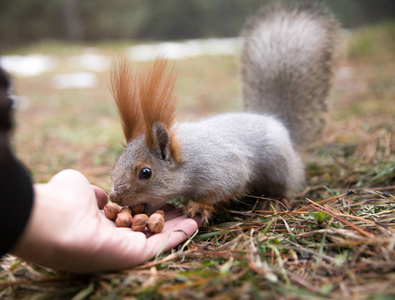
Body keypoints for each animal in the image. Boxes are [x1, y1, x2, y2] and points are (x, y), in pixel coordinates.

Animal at [109, 1, 340, 224]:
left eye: (145, 173)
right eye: (116, 163)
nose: (114, 196)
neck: (186, 158)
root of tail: (275, 121)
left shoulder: (223, 169)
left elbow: (225, 187)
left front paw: (199, 206)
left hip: (279, 165)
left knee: (287, 183)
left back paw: (276, 199)